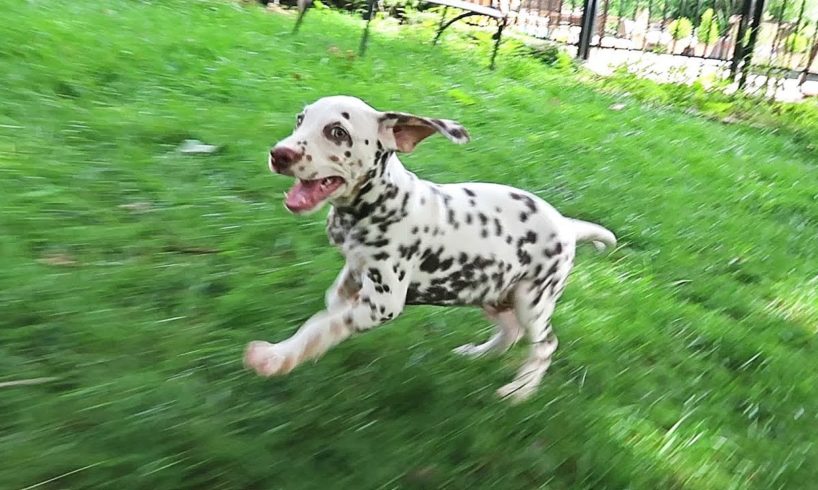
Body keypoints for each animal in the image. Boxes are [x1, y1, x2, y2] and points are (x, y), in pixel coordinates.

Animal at [242, 94, 612, 402]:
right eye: (300, 120)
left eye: (337, 132)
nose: (279, 154)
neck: (376, 205)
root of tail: (567, 226)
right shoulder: (355, 268)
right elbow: (332, 305)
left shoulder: (383, 303)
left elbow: (321, 324)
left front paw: (276, 356)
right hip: (490, 289)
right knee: (510, 332)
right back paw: (477, 355)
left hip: (532, 299)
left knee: (545, 345)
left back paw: (520, 391)